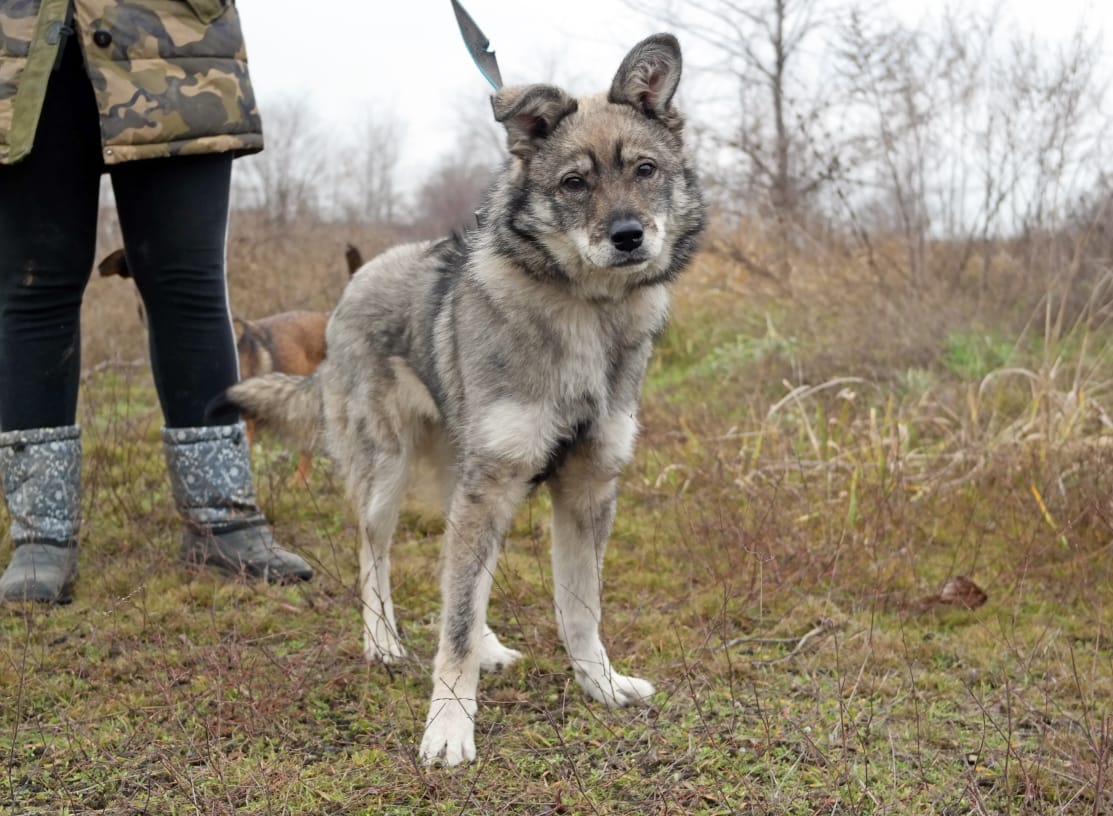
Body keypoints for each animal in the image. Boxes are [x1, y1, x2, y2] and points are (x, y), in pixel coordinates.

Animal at [225, 31, 703, 765]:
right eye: (574, 182)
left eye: (645, 170)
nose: (629, 236)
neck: (586, 312)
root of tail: (355, 283)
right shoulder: (495, 485)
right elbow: (450, 626)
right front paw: (449, 726)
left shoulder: (586, 488)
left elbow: (579, 608)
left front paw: (600, 684)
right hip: (389, 476)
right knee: (374, 556)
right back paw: (383, 642)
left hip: (462, 479)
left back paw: (487, 644)